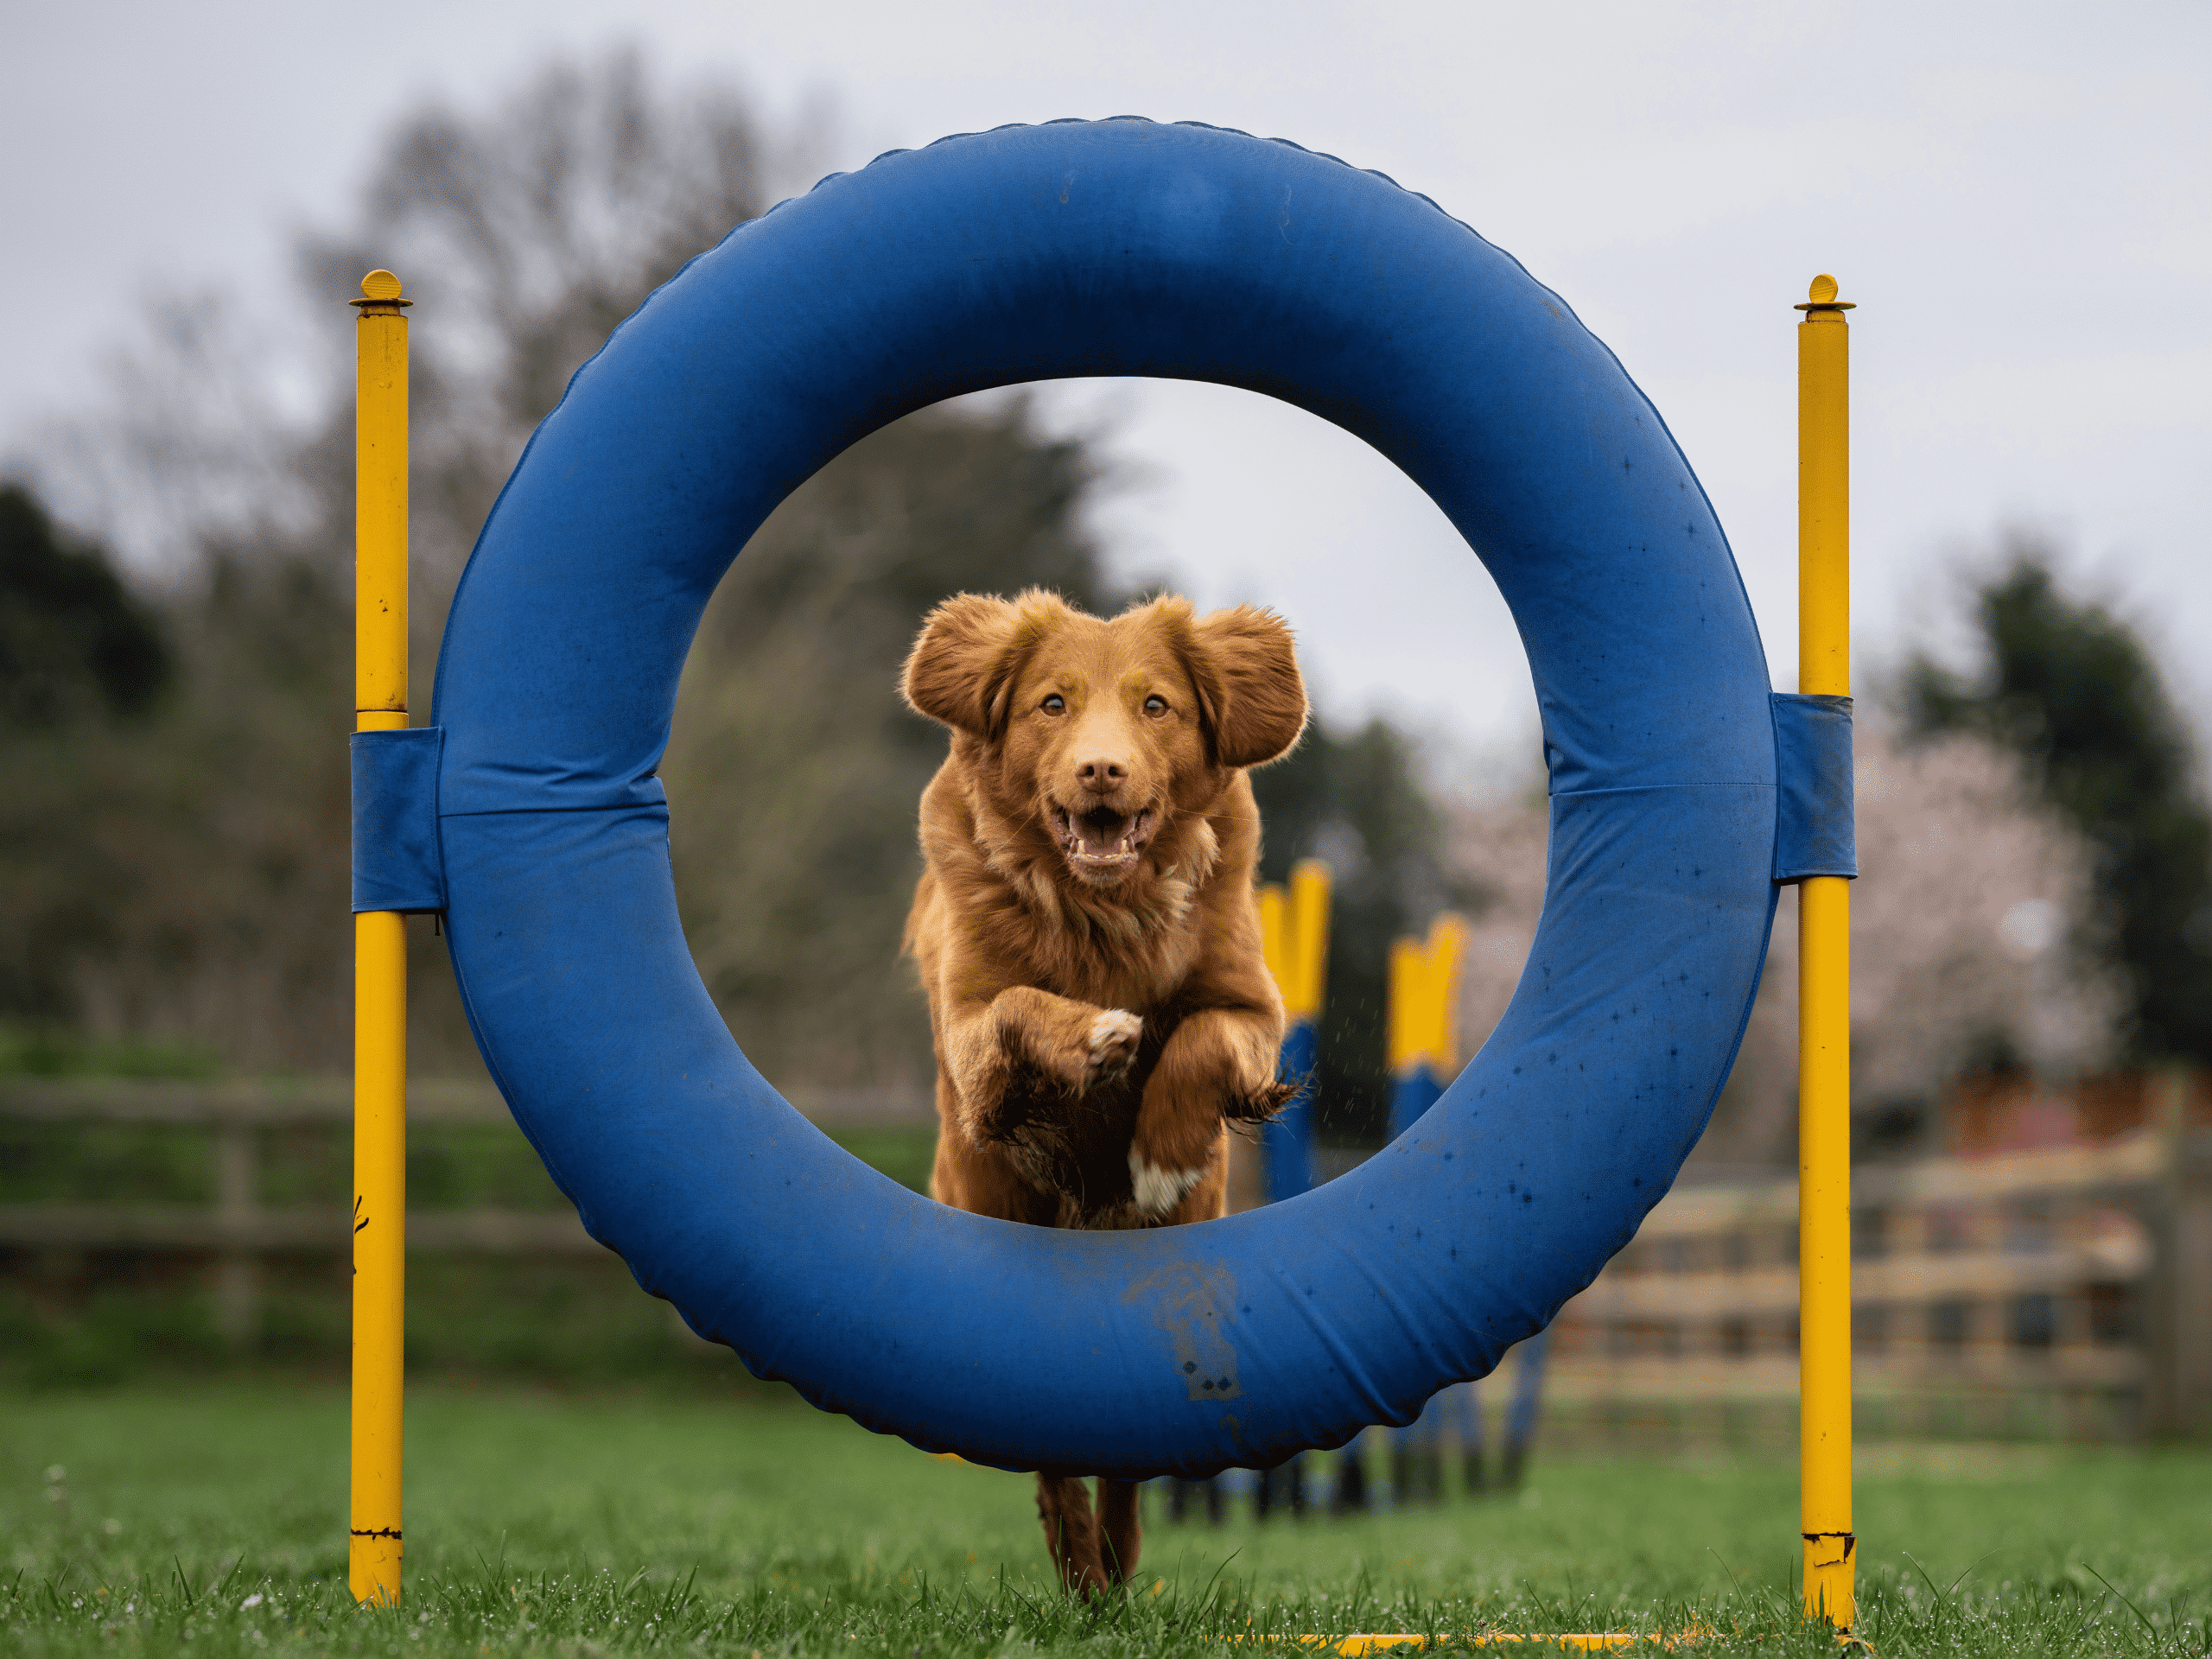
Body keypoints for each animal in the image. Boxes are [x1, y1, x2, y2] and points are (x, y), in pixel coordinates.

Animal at [898, 593, 1300, 1592]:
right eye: (1052, 704)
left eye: (1156, 706)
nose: (1101, 769)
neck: (1101, 910)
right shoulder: (973, 1033)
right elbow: (1016, 1006)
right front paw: (1093, 1038)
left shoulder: (1250, 1004)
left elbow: (1198, 1041)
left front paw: (1156, 1153)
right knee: (1049, 1446)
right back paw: (1080, 1562)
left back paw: (1114, 1559)